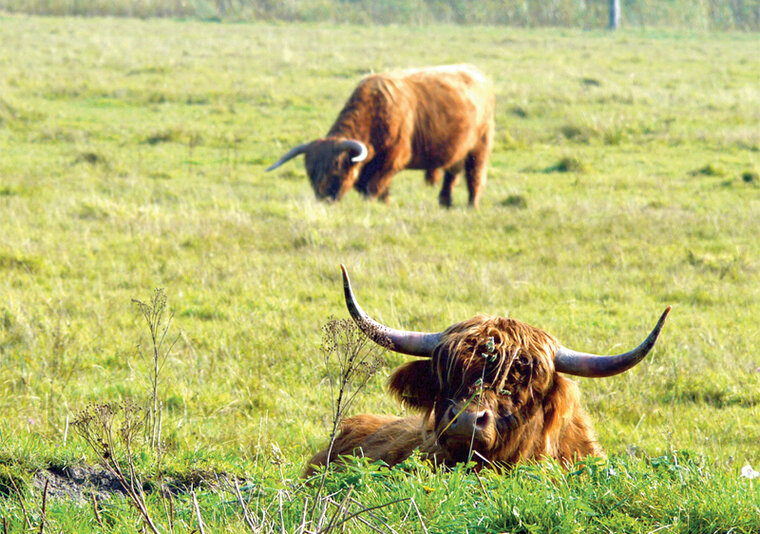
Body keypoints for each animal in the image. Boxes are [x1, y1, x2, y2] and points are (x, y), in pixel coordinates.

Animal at [268, 66, 498, 208]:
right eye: (310, 173)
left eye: (335, 170)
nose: (324, 200)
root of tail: (477, 74)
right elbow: (374, 187)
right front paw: (385, 203)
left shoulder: (393, 159)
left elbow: (374, 186)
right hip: (457, 151)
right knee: (451, 176)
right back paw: (444, 203)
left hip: (480, 146)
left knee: (475, 176)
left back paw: (471, 205)